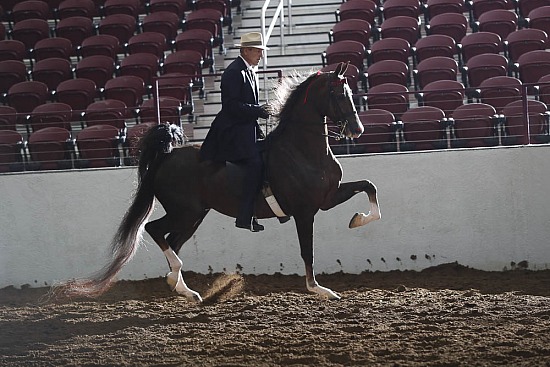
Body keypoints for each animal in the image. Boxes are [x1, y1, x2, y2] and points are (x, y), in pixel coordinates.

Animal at [64, 62, 382, 302]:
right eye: (338, 93)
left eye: (350, 91)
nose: (357, 129)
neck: (302, 149)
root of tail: (167, 155)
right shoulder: (305, 212)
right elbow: (308, 251)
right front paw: (320, 290)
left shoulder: (327, 198)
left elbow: (369, 186)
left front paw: (357, 219)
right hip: (185, 212)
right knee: (155, 230)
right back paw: (177, 279)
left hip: (194, 216)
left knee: (172, 241)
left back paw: (182, 287)